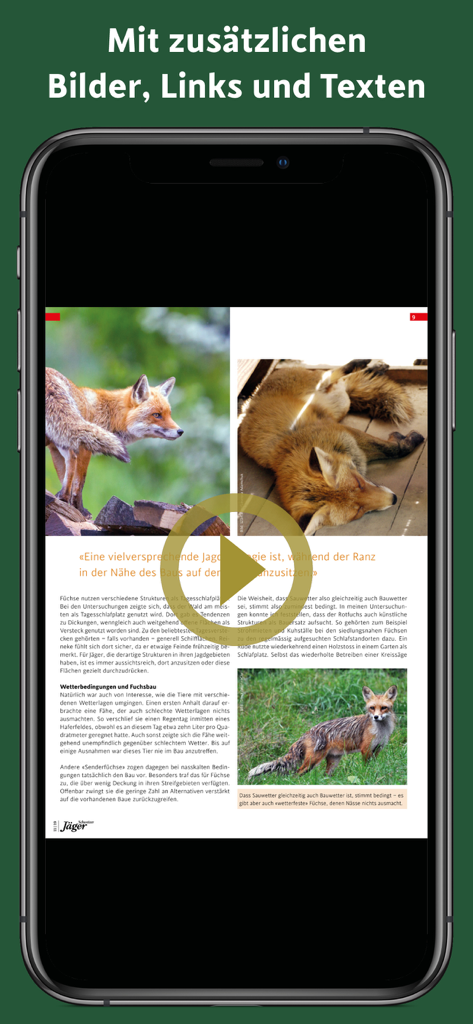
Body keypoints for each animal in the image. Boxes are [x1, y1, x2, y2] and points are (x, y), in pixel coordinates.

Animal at [45, 367, 183, 512]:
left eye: (169, 415)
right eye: (156, 415)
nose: (180, 431)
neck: (107, 414)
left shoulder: (55, 447)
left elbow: (65, 477)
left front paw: (65, 500)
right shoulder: (84, 449)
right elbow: (79, 483)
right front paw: (79, 509)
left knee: (70, 459)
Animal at [239, 358, 425, 533]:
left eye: (359, 483)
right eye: (358, 511)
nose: (394, 498)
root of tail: (253, 396)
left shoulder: (348, 433)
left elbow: (392, 449)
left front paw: (409, 440)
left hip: (333, 396)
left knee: (334, 373)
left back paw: (369, 365)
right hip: (340, 403)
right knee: (342, 382)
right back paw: (371, 369)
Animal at [248, 685, 398, 780]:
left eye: (384, 708)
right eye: (372, 708)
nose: (376, 717)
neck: (381, 731)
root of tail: (306, 733)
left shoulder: (378, 748)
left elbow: (374, 766)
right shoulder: (365, 749)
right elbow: (366, 768)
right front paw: (367, 775)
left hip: (333, 761)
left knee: (324, 776)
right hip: (312, 761)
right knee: (296, 774)